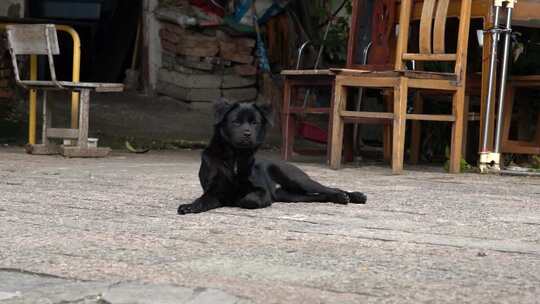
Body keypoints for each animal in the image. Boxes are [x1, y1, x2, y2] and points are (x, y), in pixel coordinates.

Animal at [177, 98, 368, 215]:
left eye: (255, 122)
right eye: (235, 122)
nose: (247, 134)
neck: (235, 157)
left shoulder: (262, 191)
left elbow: (250, 199)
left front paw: (242, 200)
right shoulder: (214, 191)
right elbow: (203, 200)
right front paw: (190, 206)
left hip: (297, 180)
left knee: (329, 188)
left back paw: (353, 196)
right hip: (292, 196)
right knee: (318, 195)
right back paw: (339, 198)